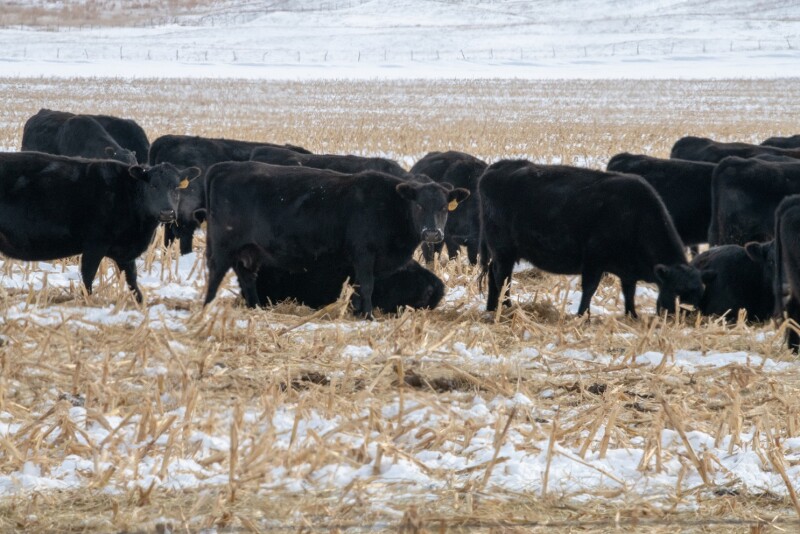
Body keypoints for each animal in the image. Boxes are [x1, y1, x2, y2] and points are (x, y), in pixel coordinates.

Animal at [0, 152, 200, 302]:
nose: (167, 213)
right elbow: (88, 274)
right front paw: (87, 300)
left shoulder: (125, 252)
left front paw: (140, 303)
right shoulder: (95, 244)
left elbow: (132, 279)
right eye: (153, 185)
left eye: (176, 187)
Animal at [478, 160, 704, 317]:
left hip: (502, 253)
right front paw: (582, 315)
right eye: (678, 293)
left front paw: (632, 315)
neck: (636, 216)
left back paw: (492, 308)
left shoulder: (627, 270)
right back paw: (507, 307)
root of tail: (497, 167)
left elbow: (629, 293)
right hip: (503, 251)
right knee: (502, 278)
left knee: (493, 275)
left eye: (700, 292)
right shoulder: (594, 260)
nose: (689, 320)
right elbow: (589, 289)